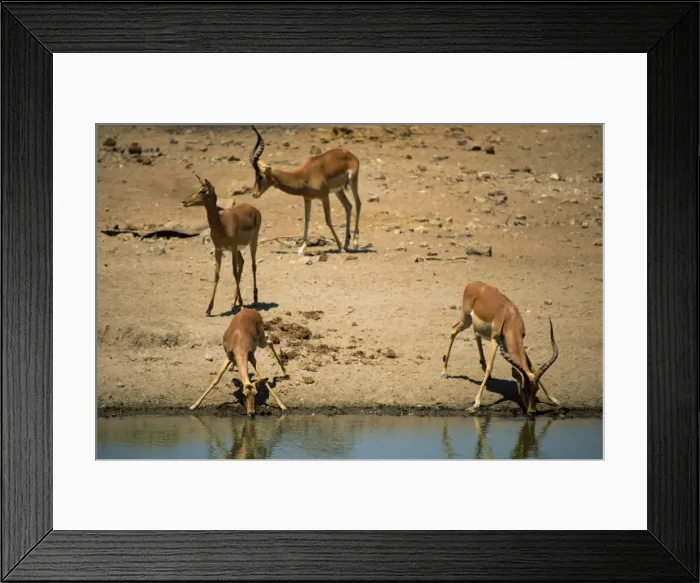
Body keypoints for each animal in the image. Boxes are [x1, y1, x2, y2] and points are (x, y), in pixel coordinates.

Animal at [182, 175, 262, 317]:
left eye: (203, 191)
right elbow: (217, 274)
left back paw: (255, 299)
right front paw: (208, 309)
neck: (222, 225)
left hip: (253, 242)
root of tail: (254, 209)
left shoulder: (233, 247)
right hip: (238, 249)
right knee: (242, 263)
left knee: (253, 265)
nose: (185, 202)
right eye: (198, 189)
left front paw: (242, 305)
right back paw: (233, 301)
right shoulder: (219, 249)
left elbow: (234, 272)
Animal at [248, 126, 362, 255]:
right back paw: (347, 244)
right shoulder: (307, 198)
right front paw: (302, 248)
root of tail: (349, 154)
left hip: (353, 181)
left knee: (358, 203)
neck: (305, 175)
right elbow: (306, 220)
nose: (254, 194)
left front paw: (339, 246)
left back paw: (355, 243)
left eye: (260, 176)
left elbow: (328, 220)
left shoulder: (324, 196)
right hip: (339, 191)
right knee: (348, 206)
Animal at [440, 281, 560, 415]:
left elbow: (531, 367)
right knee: (453, 330)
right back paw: (444, 372)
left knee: (476, 334)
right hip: (466, 320)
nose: (532, 411)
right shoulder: (495, 340)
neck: (510, 318)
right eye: (524, 389)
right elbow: (490, 367)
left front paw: (554, 399)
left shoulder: (514, 342)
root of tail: (472, 284)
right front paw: (476, 403)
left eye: (536, 388)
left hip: (475, 326)